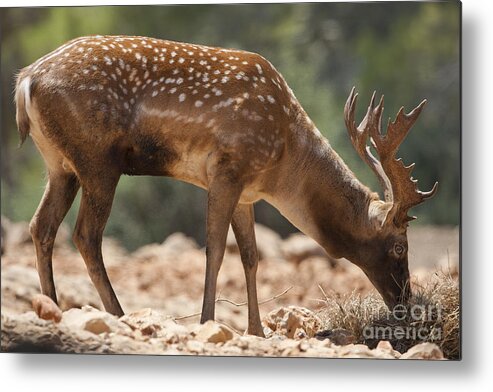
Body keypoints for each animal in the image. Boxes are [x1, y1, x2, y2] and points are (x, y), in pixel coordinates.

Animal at [14, 36, 434, 336]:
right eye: (400, 246)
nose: (405, 304)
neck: (283, 164)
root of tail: (25, 81)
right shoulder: (228, 169)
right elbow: (215, 248)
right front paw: (207, 321)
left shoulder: (247, 192)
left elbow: (250, 256)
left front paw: (257, 330)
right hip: (98, 159)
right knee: (86, 234)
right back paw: (119, 314)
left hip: (59, 165)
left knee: (41, 226)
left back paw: (50, 308)